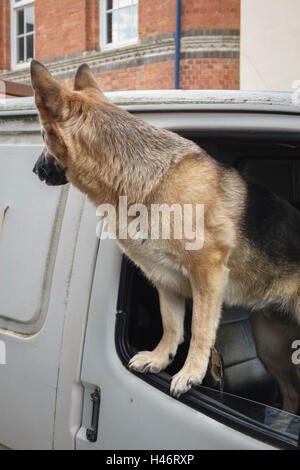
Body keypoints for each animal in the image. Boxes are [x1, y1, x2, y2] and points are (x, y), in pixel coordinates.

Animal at [31, 59, 300, 404]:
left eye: (43, 135)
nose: (35, 170)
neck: (149, 185)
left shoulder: (208, 272)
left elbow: (199, 327)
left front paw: (191, 372)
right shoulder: (164, 278)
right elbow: (171, 324)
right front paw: (160, 358)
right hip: (270, 346)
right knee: (291, 392)